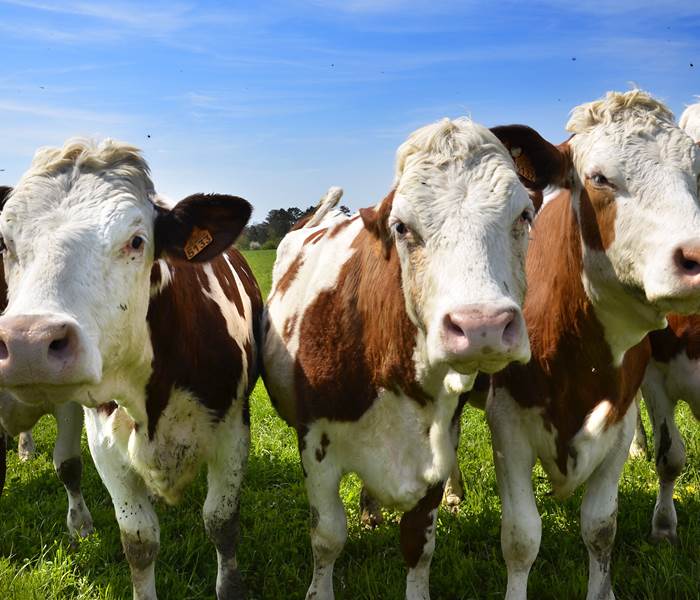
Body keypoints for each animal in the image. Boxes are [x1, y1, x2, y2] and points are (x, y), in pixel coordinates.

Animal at [0, 139, 262, 600]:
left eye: (137, 240)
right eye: (5, 244)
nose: (28, 343)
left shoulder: (233, 432)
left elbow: (221, 522)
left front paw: (230, 585)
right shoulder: (103, 440)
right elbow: (138, 540)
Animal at [262, 116, 566, 600]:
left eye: (524, 216)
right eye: (401, 226)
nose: (481, 325)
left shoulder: (434, 449)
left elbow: (418, 543)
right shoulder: (315, 443)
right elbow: (327, 537)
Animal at [484, 90, 700, 600]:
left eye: (697, 173)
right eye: (599, 178)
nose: (696, 256)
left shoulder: (618, 423)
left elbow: (601, 527)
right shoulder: (506, 424)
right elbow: (521, 538)